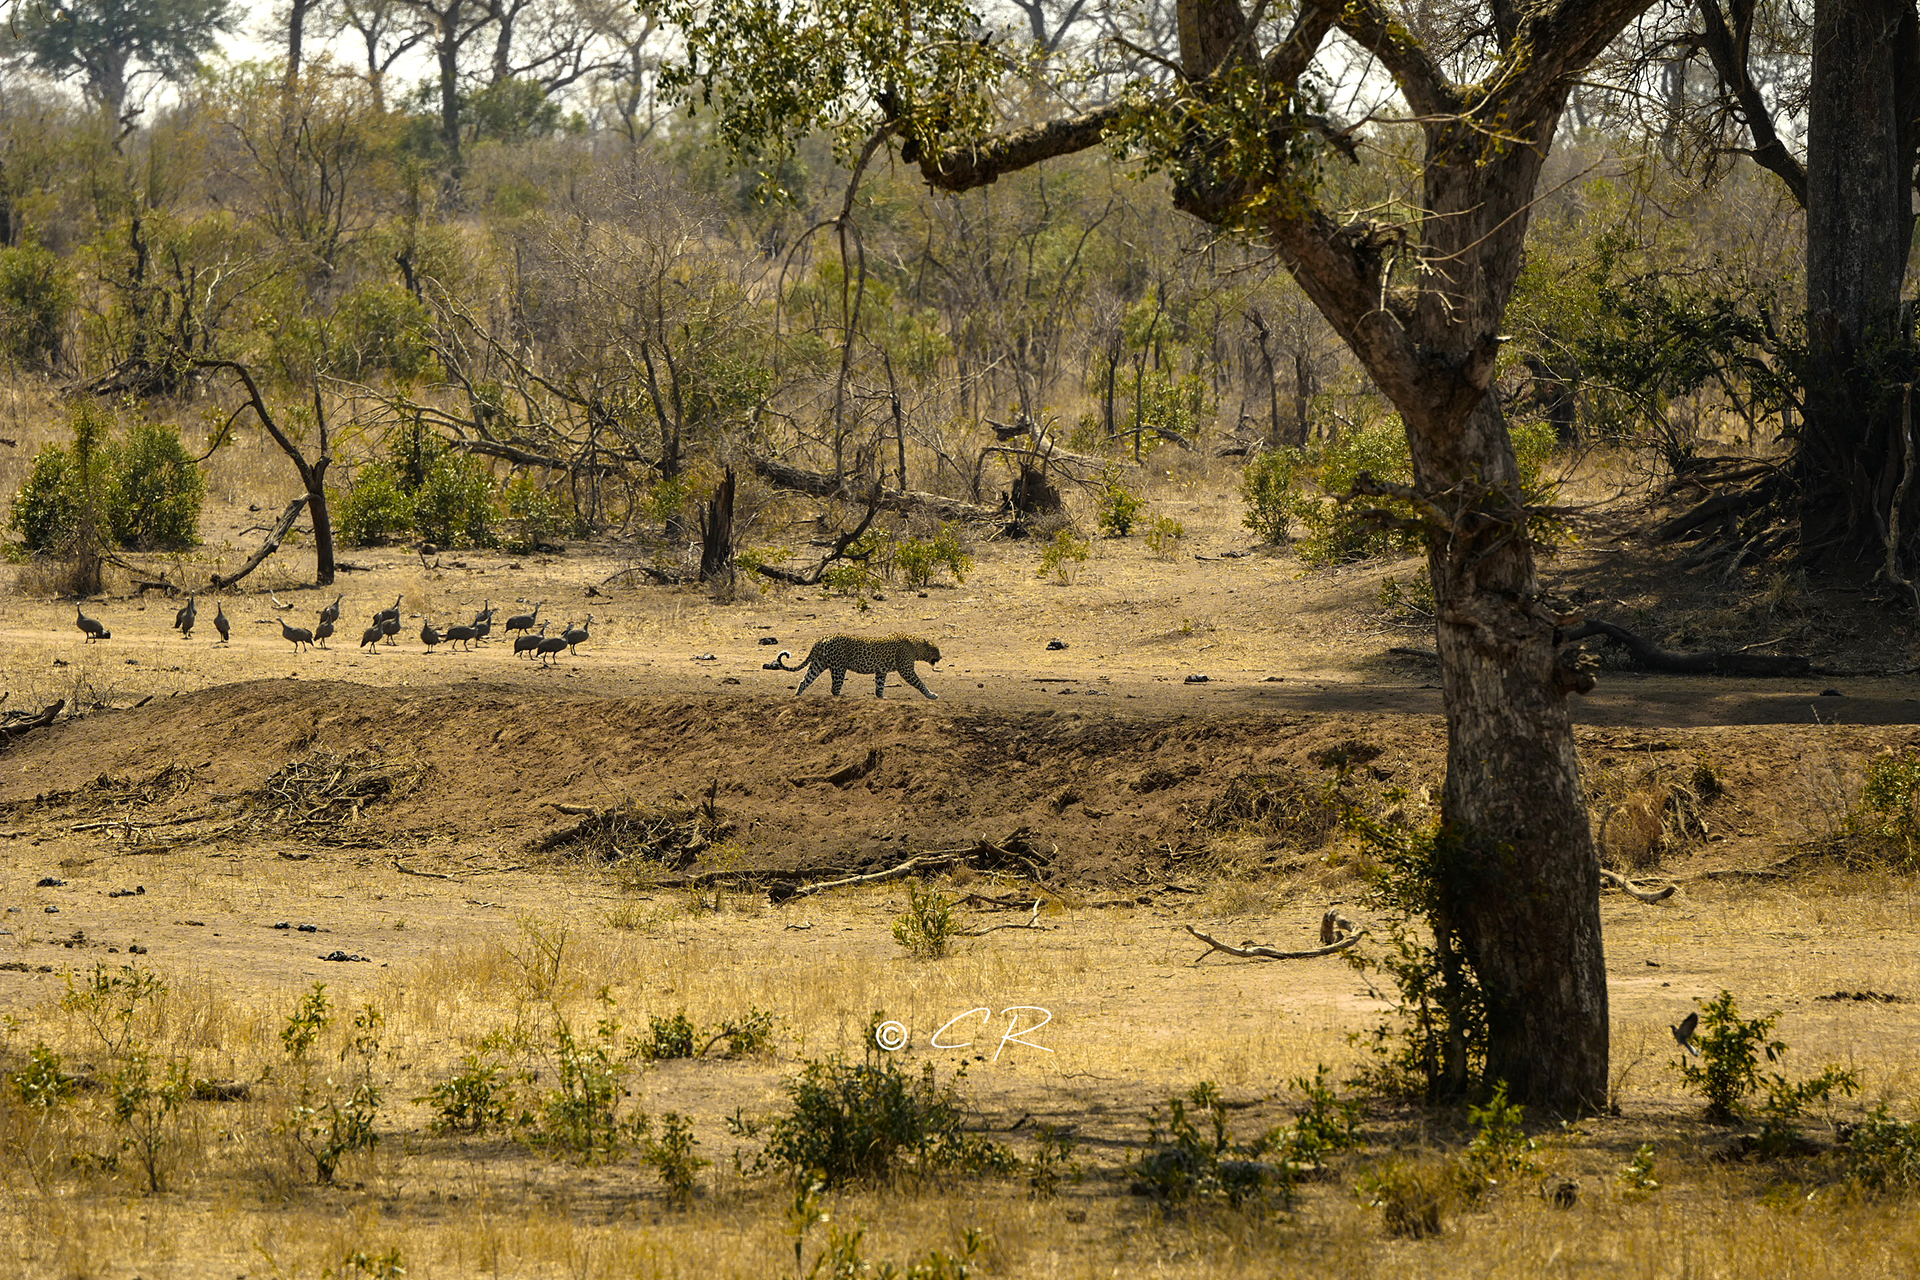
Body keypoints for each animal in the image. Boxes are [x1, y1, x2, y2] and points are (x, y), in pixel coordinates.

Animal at [764, 633, 944, 702]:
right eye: (937, 650)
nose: (941, 657)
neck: (916, 647)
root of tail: (821, 638)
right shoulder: (906, 670)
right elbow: (920, 683)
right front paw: (932, 695)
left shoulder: (881, 671)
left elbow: (880, 685)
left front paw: (881, 697)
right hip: (838, 667)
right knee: (834, 688)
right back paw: (841, 696)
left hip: (819, 663)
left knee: (805, 680)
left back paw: (797, 696)